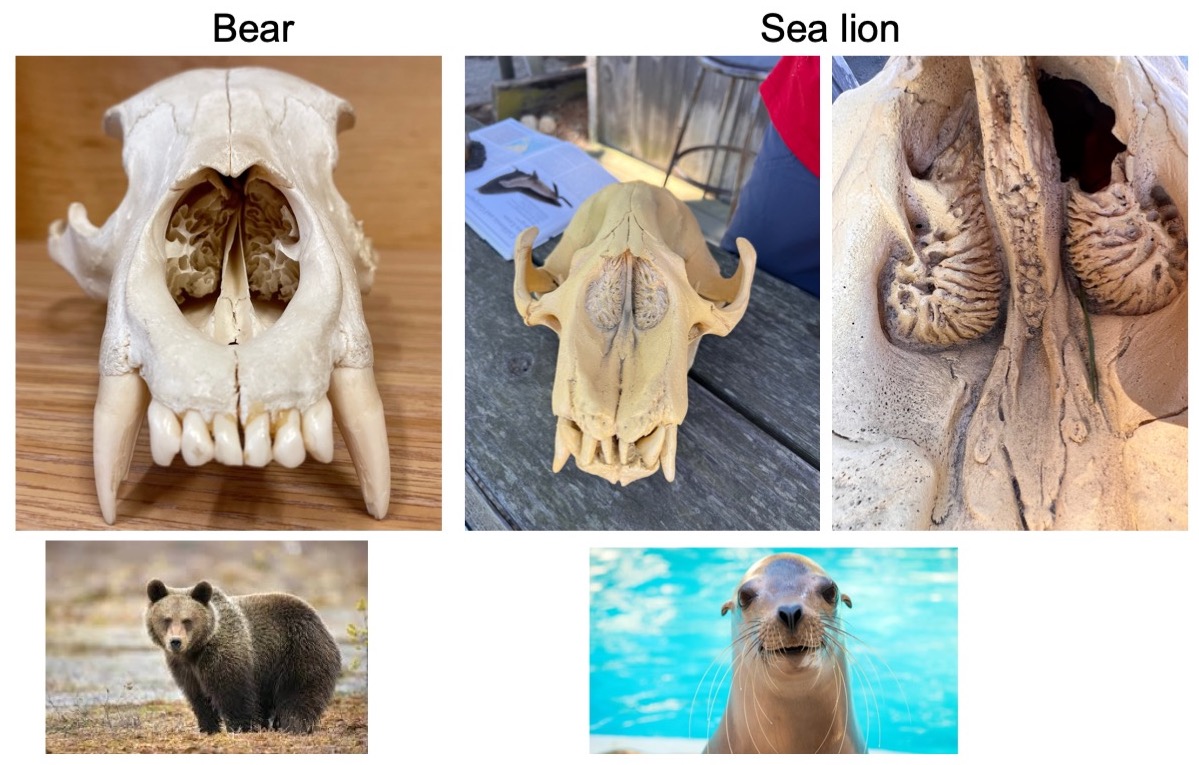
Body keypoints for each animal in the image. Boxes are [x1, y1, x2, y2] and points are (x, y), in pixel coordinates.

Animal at [145, 579, 341, 734]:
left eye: (187, 620)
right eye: (166, 619)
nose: (175, 642)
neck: (195, 650)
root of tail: (320, 622)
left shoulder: (224, 654)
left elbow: (234, 694)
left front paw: (241, 728)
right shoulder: (185, 668)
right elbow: (198, 698)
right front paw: (208, 728)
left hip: (300, 650)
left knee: (300, 693)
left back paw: (293, 726)